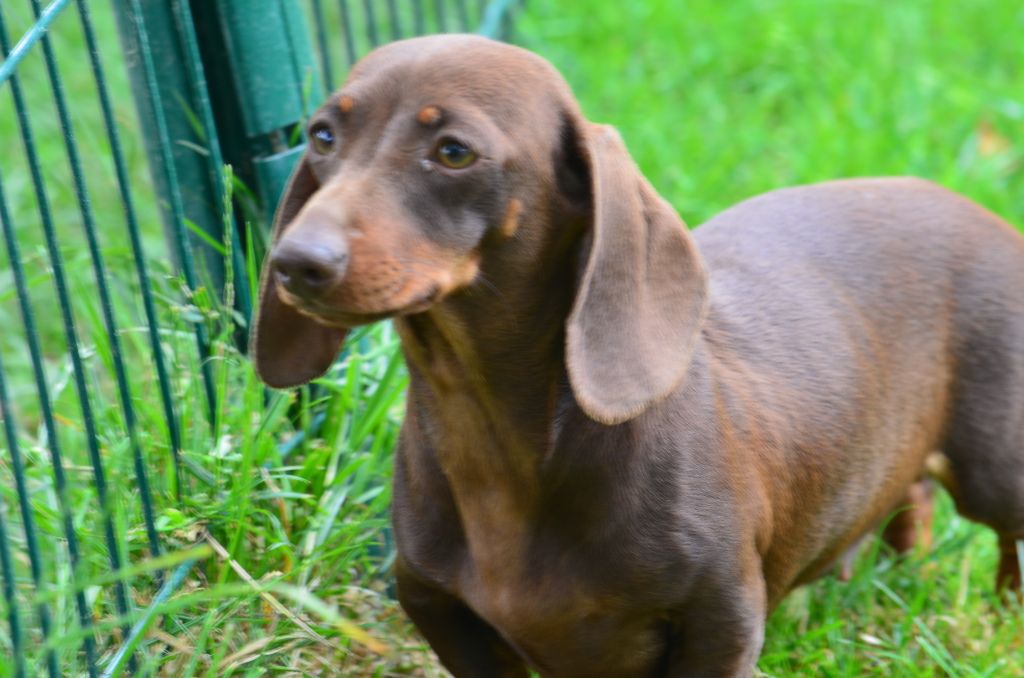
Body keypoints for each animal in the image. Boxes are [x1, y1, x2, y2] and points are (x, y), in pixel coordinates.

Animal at [253, 35, 1024, 678]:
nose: (296, 263)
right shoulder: (444, 616)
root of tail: (967, 203)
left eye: (453, 152)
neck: (495, 446)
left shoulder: (720, 620)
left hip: (996, 468)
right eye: (322, 135)